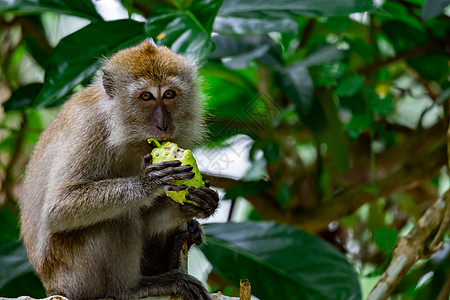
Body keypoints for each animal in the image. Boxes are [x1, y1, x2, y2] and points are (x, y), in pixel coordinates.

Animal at [18, 40, 219, 300]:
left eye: (169, 94)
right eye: (146, 96)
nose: (163, 125)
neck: (126, 133)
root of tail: (52, 287)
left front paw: (200, 203)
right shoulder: (90, 128)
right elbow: (58, 208)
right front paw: (149, 183)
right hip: (74, 276)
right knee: (117, 217)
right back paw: (132, 287)